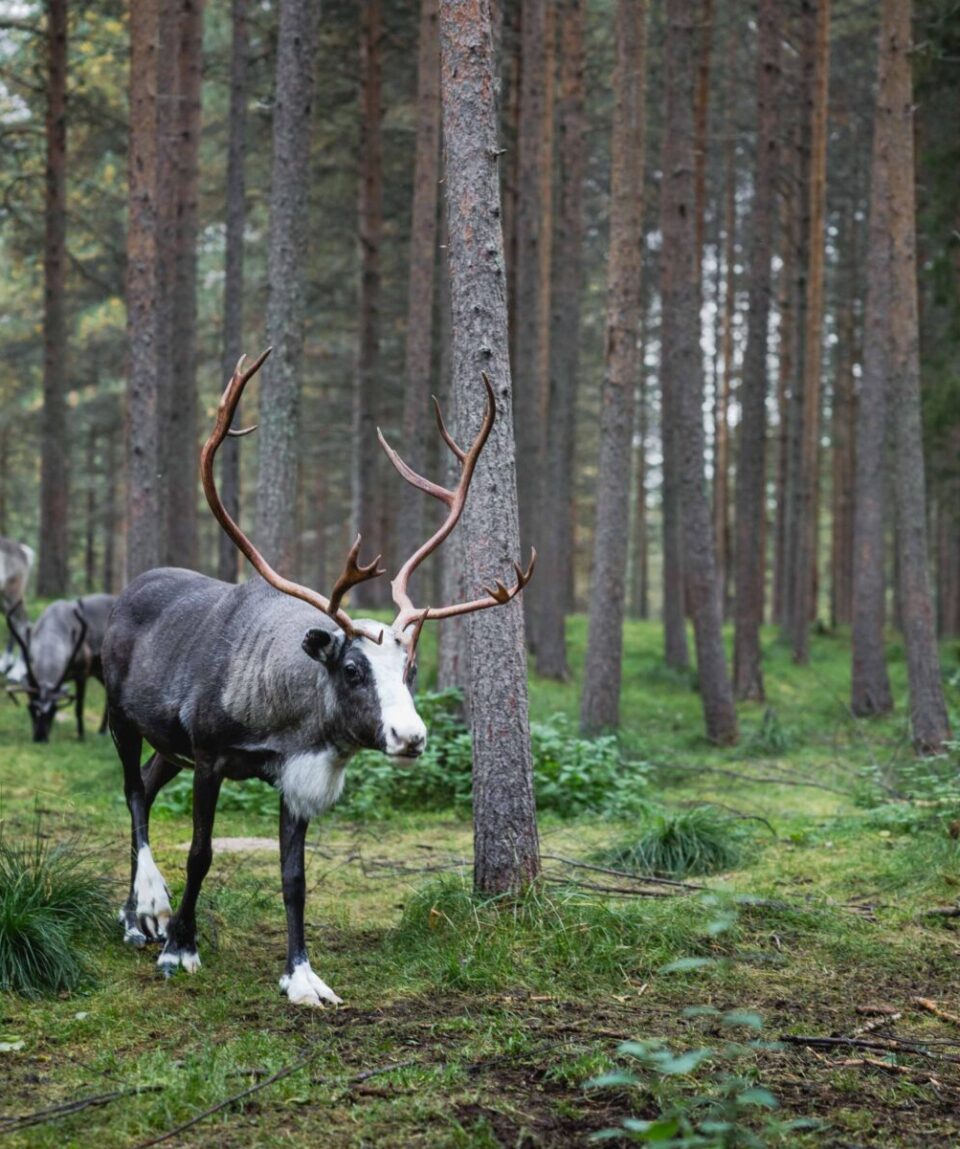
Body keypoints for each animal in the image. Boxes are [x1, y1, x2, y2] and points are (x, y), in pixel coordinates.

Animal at [6, 594, 116, 742]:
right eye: (31, 709)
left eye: (54, 709)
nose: (40, 737)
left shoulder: (82, 672)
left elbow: (79, 707)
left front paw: (81, 736)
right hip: (99, 672)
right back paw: (103, 730)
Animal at [102, 348, 534, 1007]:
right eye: (352, 668)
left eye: (410, 667)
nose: (411, 737)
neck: (287, 713)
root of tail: (125, 593)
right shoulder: (209, 756)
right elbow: (201, 852)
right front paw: (181, 947)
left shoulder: (292, 774)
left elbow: (295, 875)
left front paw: (302, 975)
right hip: (123, 719)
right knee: (130, 793)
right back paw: (145, 912)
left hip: (168, 747)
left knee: (146, 790)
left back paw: (138, 912)